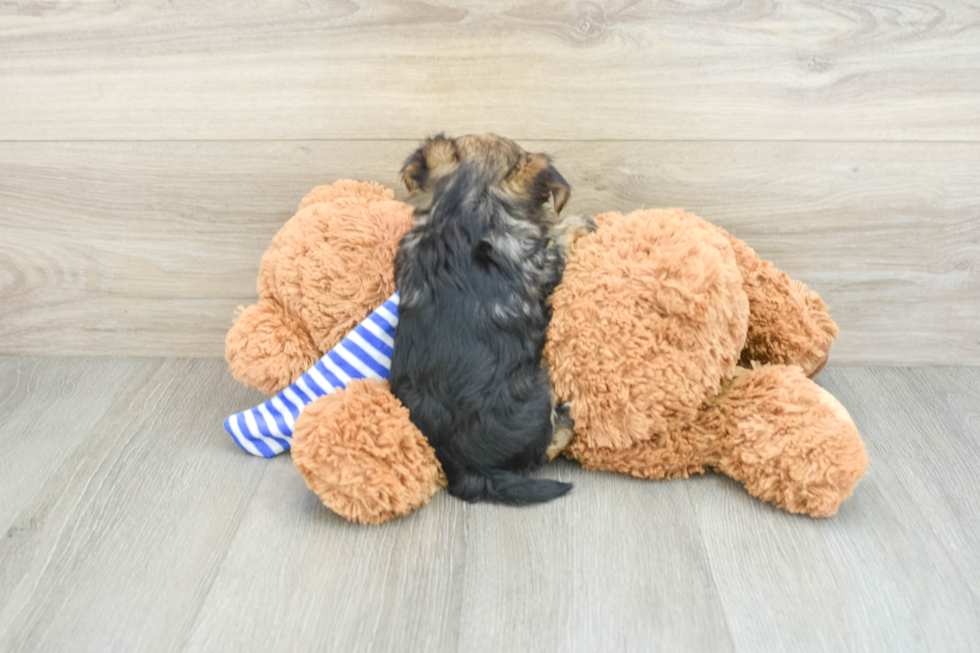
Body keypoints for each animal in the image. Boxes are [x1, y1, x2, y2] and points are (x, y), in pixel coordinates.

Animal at [388, 134, 576, 504]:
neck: (467, 204)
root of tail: (469, 468)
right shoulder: (544, 262)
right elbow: (560, 241)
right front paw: (581, 224)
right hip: (539, 398)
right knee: (543, 450)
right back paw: (567, 425)